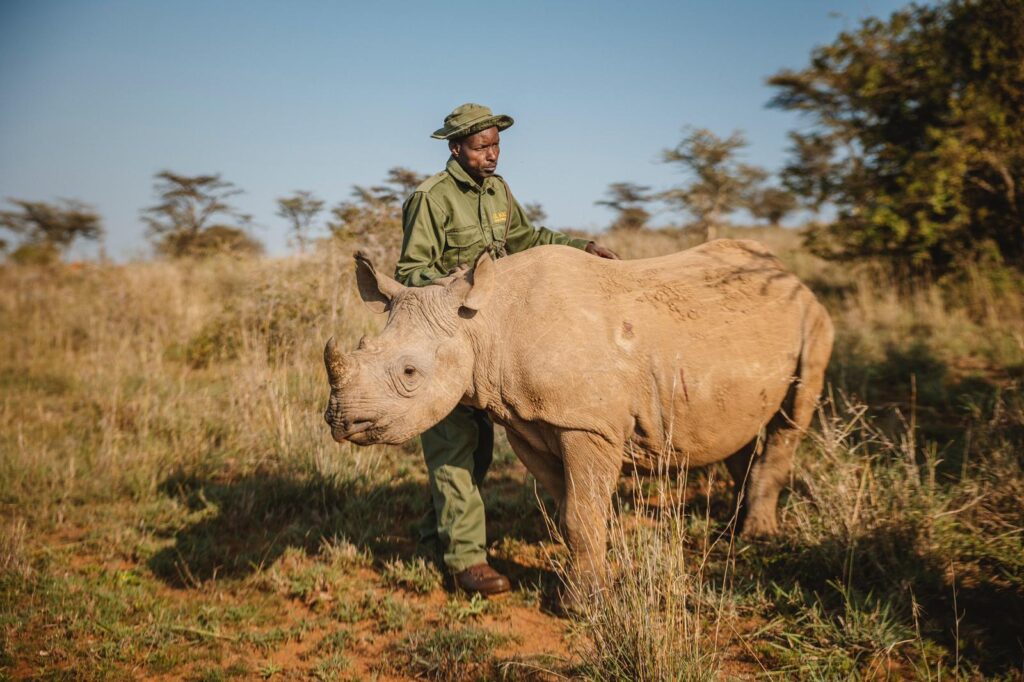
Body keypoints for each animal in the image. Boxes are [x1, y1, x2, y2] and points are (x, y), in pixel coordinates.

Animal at [323, 239, 834, 590]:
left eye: (410, 373)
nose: (341, 421)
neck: (483, 326)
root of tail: (787, 272)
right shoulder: (529, 422)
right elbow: (571, 509)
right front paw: (586, 580)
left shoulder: (587, 423)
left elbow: (581, 512)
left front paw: (585, 602)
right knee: (739, 425)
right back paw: (733, 527)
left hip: (811, 317)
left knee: (792, 416)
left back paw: (757, 536)